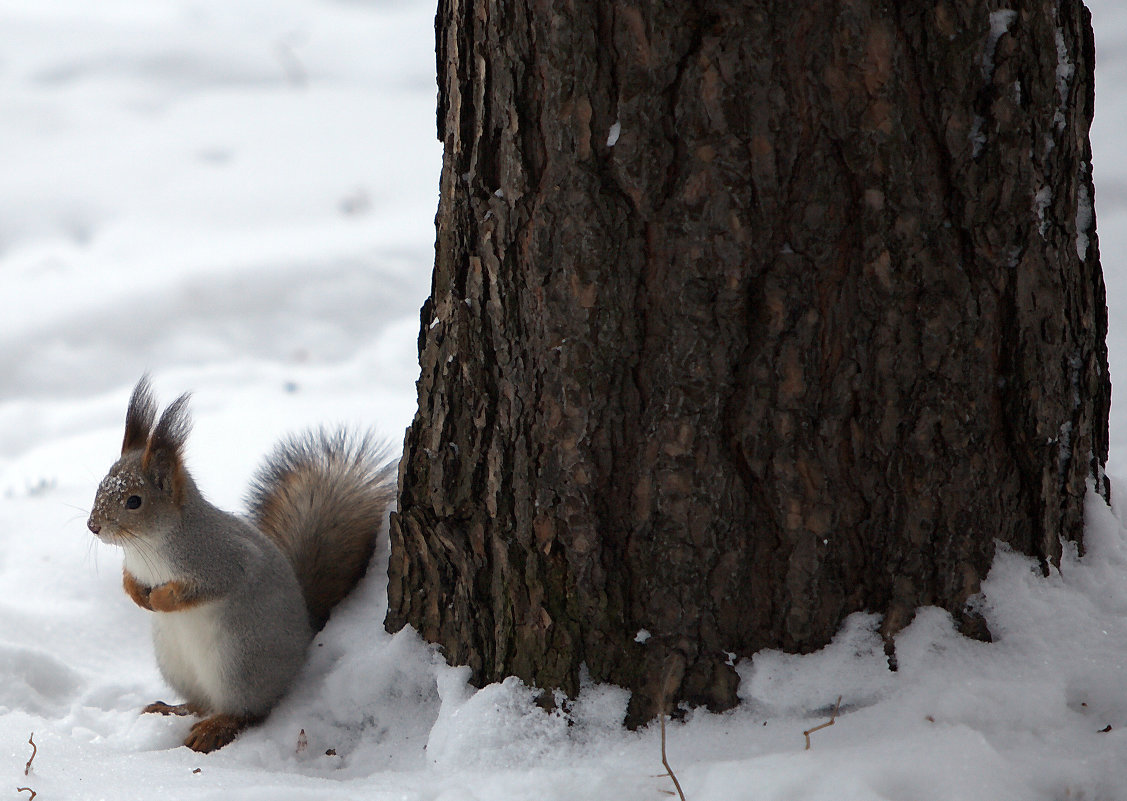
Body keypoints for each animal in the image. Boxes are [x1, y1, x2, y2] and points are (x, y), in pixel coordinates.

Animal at [86, 376, 396, 752]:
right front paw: (136, 593)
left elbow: (207, 587)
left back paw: (215, 726)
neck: (147, 547)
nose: (93, 525)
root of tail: (302, 645)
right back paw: (171, 710)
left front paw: (160, 598)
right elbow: (128, 579)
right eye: (101, 485)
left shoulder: (223, 560)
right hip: (176, 663)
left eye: (134, 501)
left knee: (248, 711)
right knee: (201, 702)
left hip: (239, 663)